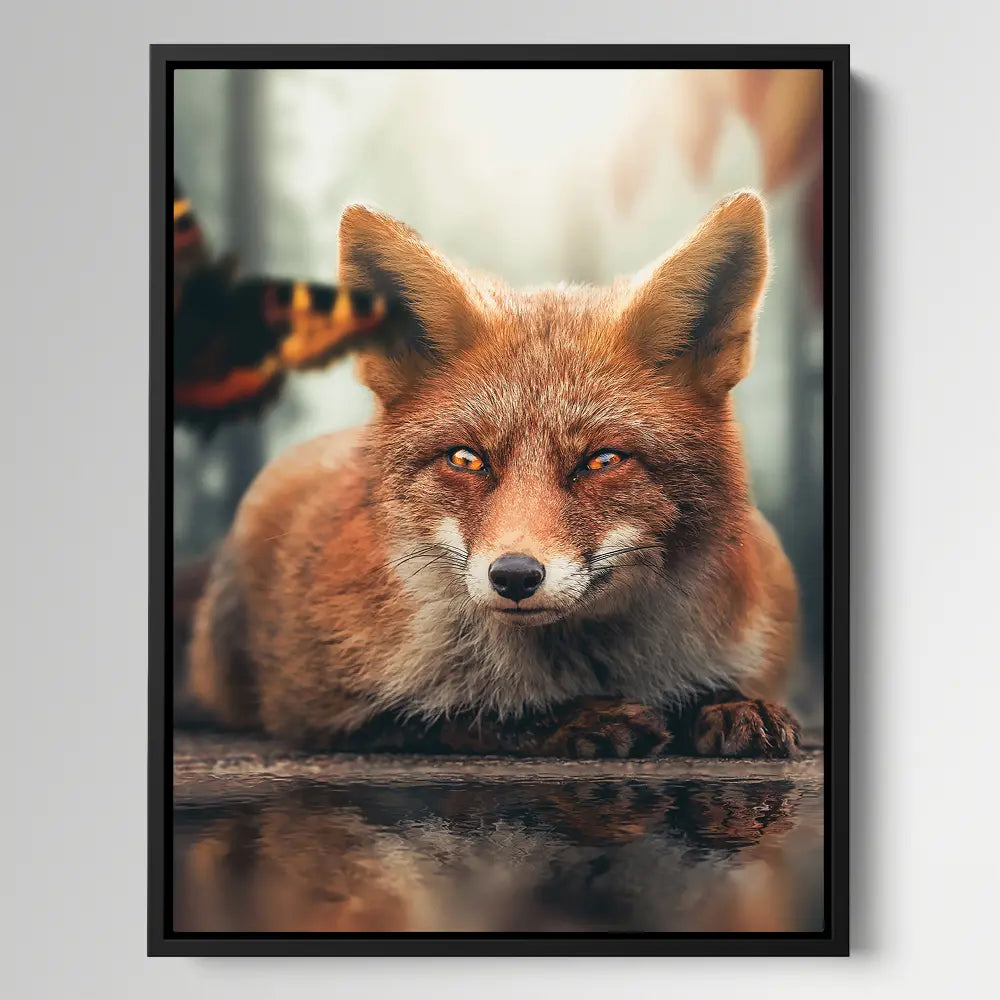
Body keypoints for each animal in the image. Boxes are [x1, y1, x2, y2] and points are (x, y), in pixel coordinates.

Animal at [183, 190, 801, 758]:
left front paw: (727, 702)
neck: (587, 663)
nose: (514, 576)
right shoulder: (324, 709)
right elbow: (461, 714)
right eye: (466, 459)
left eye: (602, 461)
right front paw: (573, 717)